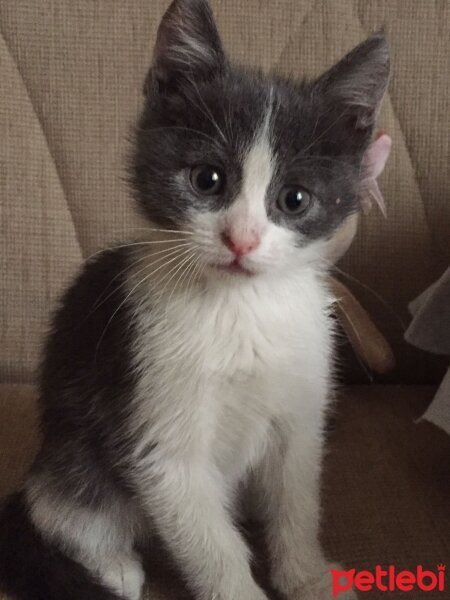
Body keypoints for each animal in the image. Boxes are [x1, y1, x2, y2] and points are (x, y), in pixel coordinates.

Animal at [0, 1, 386, 600]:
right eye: (207, 179)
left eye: (295, 199)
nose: (241, 239)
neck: (240, 307)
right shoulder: (159, 432)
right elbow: (211, 543)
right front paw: (240, 587)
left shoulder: (301, 413)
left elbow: (296, 502)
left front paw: (308, 577)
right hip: (73, 450)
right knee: (58, 504)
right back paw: (111, 562)